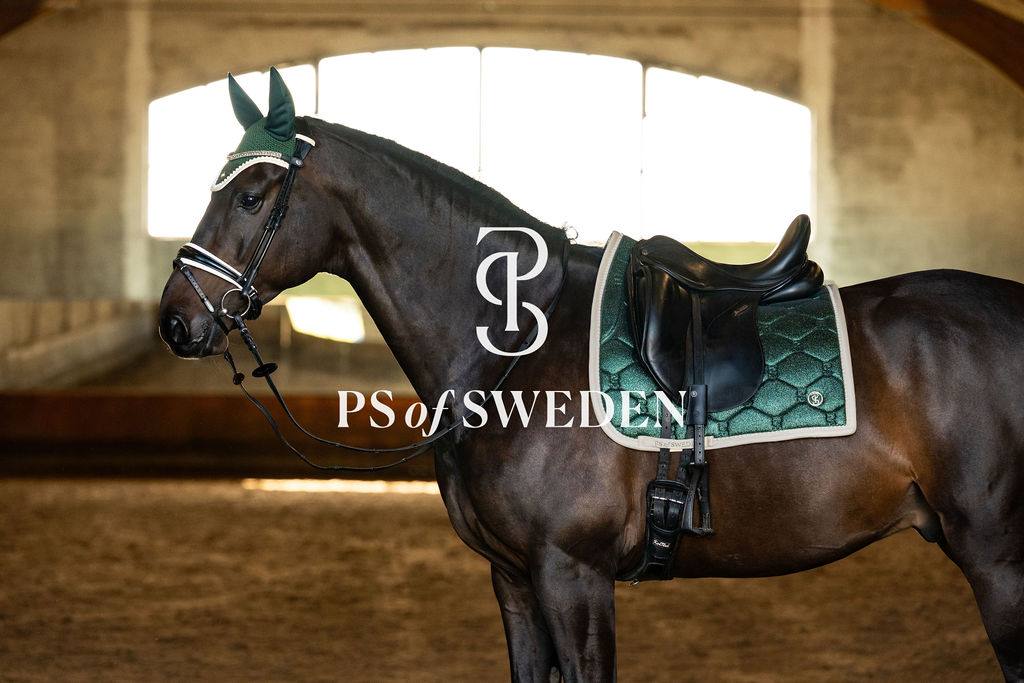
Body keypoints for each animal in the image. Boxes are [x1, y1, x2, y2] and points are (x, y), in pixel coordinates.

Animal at [157, 69, 1024, 681]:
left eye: (252, 194)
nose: (175, 320)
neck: (517, 344)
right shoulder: (513, 581)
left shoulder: (572, 575)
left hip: (998, 557)